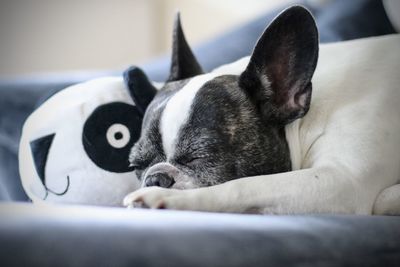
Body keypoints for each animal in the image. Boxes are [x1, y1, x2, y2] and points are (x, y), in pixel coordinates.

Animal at [123, 6, 400, 216]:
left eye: (199, 157)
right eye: (137, 165)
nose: (155, 178)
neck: (307, 121)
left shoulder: (341, 180)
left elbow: (241, 186)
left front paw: (162, 196)